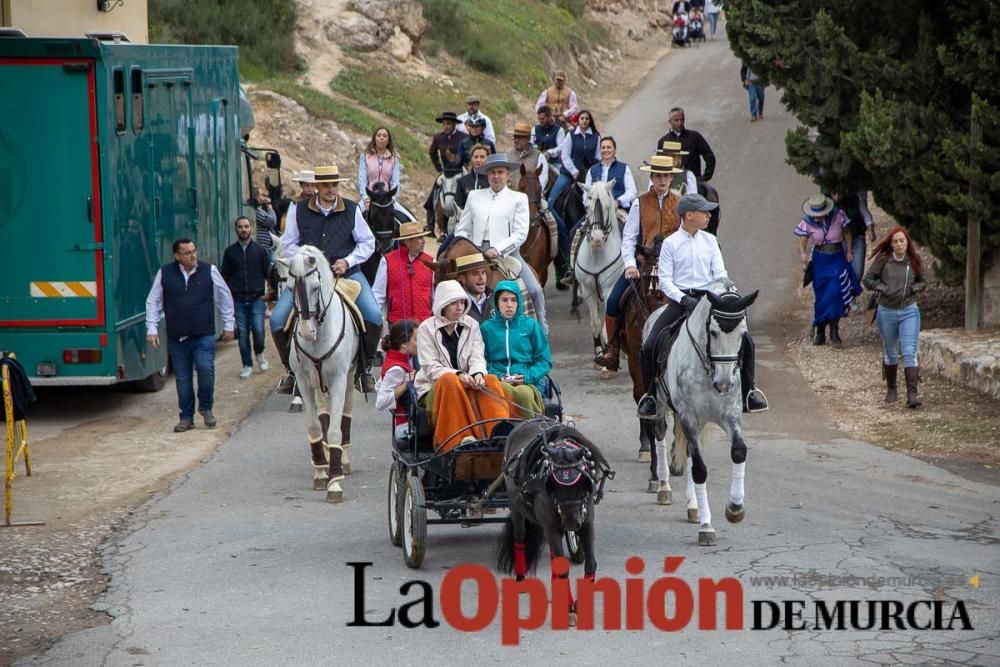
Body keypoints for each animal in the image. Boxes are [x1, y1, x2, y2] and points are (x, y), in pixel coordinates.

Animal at [278, 245, 360, 500]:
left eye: (315, 287)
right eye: (290, 288)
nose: (306, 331)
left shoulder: (339, 380)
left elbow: (334, 429)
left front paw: (335, 481)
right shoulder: (304, 381)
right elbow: (315, 425)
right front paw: (321, 473)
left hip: (350, 376)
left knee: (346, 413)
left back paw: (343, 460)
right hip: (318, 382)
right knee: (324, 414)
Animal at [496, 426, 612, 620]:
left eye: (583, 483)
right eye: (553, 485)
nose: (571, 523)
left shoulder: (587, 525)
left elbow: (590, 564)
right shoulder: (552, 528)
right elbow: (563, 568)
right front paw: (568, 609)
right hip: (517, 510)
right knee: (519, 538)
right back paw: (520, 577)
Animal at [644, 282, 760, 548]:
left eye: (743, 334)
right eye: (713, 332)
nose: (724, 383)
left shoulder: (730, 417)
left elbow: (739, 452)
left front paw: (735, 509)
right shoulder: (689, 417)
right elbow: (699, 470)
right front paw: (707, 527)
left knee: (688, 451)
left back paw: (693, 505)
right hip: (662, 408)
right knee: (660, 437)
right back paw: (664, 488)